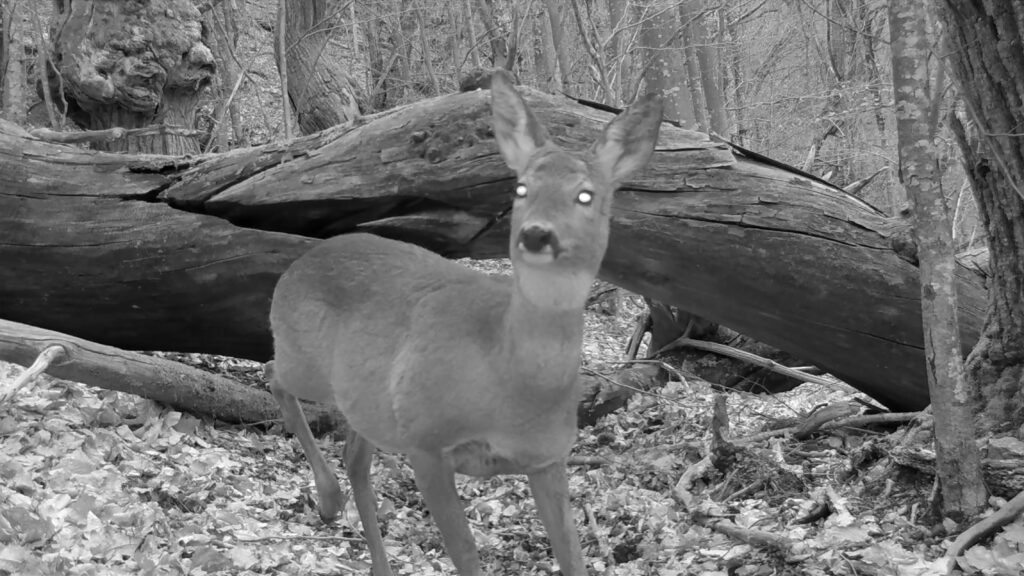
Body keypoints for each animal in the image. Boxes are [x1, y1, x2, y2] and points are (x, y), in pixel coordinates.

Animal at [266, 68, 663, 573]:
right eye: (520, 189)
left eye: (586, 195)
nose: (537, 234)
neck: (507, 378)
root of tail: (299, 261)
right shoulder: (427, 441)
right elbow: (468, 558)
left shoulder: (547, 457)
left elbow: (573, 557)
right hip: (307, 359)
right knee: (273, 374)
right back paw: (328, 499)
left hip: (370, 399)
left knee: (354, 454)